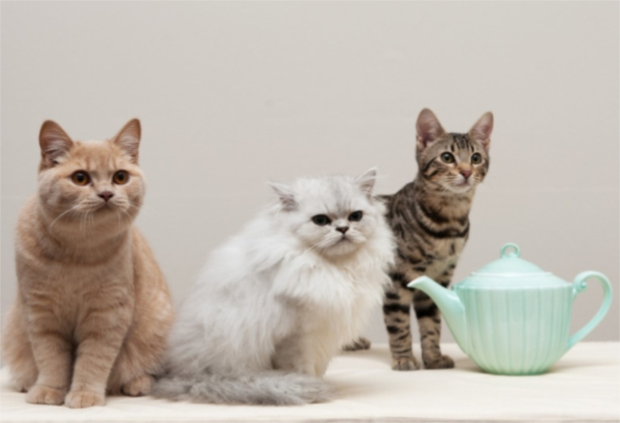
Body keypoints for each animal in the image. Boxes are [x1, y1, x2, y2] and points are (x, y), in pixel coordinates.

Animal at [1, 119, 175, 408]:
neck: (76, 254)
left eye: (120, 177)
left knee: (149, 370)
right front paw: (49, 390)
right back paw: (26, 382)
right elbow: (50, 358)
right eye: (80, 178)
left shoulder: (107, 315)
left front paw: (85, 394)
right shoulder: (41, 313)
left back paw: (136, 383)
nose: (106, 193)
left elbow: (93, 361)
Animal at [152, 169, 395, 405]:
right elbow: (302, 369)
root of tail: (185, 378)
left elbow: (318, 368)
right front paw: (311, 384)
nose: (343, 229)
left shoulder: (322, 336)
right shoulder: (298, 338)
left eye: (356, 216)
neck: (335, 268)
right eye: (320, 220)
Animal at [349, 109, 493, 370]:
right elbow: (399, 324)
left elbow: (432, 324)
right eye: (447, 157)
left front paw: (433, 358)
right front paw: (404, 358)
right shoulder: (397, 281)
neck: (448, 225)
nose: (467, 172)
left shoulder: (438, 279)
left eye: (476, 158)